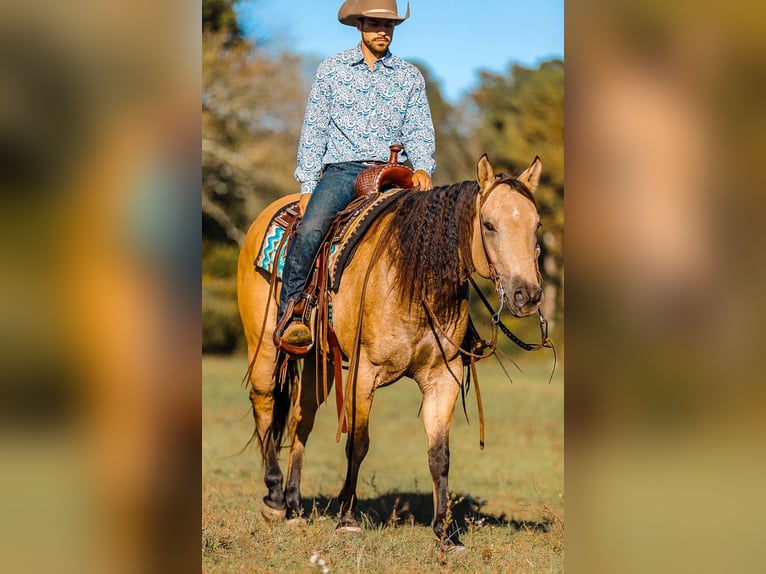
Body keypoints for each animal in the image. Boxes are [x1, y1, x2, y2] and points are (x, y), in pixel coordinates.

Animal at [237, 153, 544, 552]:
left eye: (537, 225)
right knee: (264, 404)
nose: (528, 295)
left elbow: (439, 454)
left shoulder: (443, 378)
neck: (413, 278)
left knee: (300, 420)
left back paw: (293, 507)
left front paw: (445, 533)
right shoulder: (363, 373)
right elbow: (358, 444)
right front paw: (347, 521)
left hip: (318, 363)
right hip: (262, 347)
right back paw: (274, 500)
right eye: (489, 225)